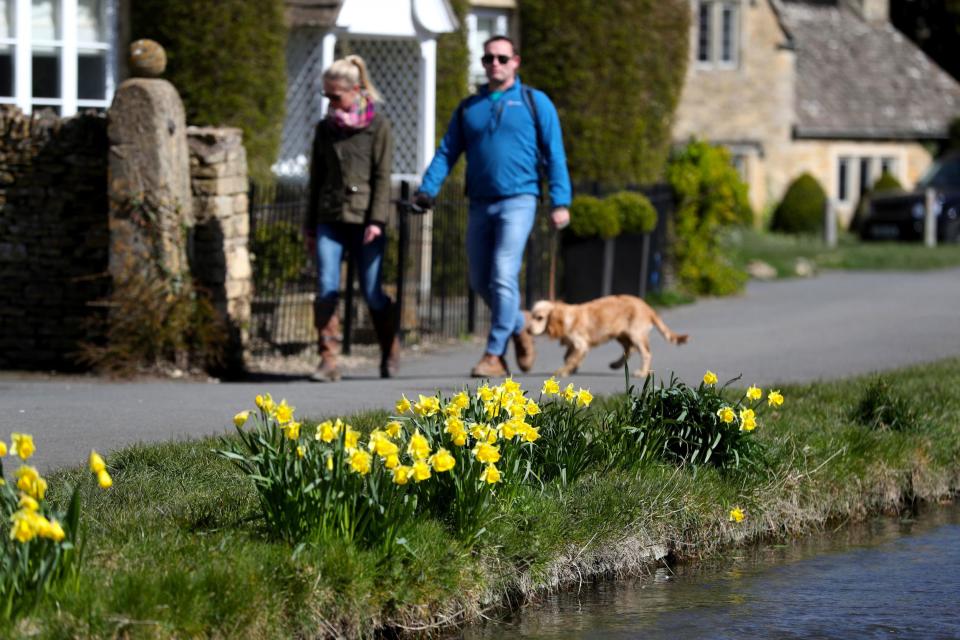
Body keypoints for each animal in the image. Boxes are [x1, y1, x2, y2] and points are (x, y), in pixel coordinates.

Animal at [528, 296, 688, 380]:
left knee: (645, 353)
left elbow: (571, 359)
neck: (566, 315)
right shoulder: (573, 345)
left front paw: (564, 371)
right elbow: (568, 357)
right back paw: (616, 364)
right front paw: (572, 368)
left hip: (636, 335)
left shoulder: (581, 344)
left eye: (539, 317)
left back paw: (642, 372)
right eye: (532, 316)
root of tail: (648, 308)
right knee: (630, 350)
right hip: (622, 335)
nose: (528, 330)